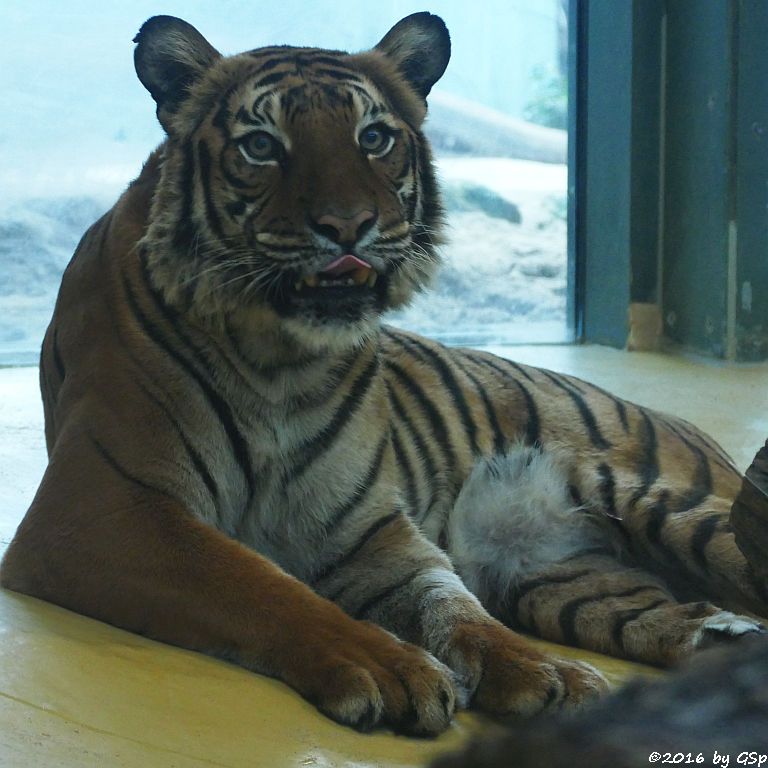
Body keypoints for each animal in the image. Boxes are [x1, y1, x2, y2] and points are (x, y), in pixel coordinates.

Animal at [1, 9, 768, 736]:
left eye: (372, 137)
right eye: (261, 145)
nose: (348, 226)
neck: (282, 361)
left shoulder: (366, 530)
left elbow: (452, 605)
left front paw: (542, 672)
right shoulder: (101, 505)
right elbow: (259, 583)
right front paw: (387, 666)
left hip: (670, 510)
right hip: (568, 583)